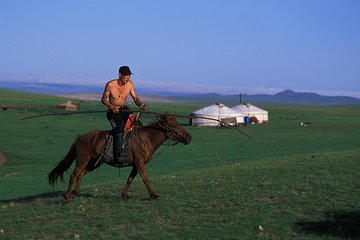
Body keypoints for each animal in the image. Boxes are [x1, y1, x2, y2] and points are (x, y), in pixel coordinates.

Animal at [50, 114, 194, 202]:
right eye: (174, 126)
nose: (189, 137)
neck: (146, 138)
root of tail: (82, 137)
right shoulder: (140, 162)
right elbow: (145, 178)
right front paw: (153, 195)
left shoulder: (136, 164)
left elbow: (130, 179)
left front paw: (125, 195)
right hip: (82, 160)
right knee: (74, 175)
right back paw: (67, 197)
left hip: (93, 163)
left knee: (80, 175)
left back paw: (76, 193)